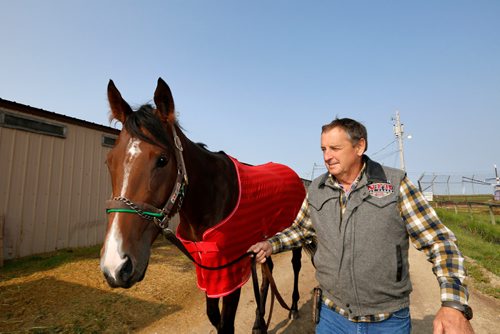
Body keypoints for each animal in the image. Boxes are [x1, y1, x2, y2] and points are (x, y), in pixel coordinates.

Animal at [99, 78, 304, 334]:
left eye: (162, 160)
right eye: (110, 161)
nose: (116, 266)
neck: (211, 198)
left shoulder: (230, 272)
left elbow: (226, 324)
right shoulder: (208, 269)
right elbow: (214, 316)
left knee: (296, 264)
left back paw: (293, 307)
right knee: (269, 271)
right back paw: (259, 324)